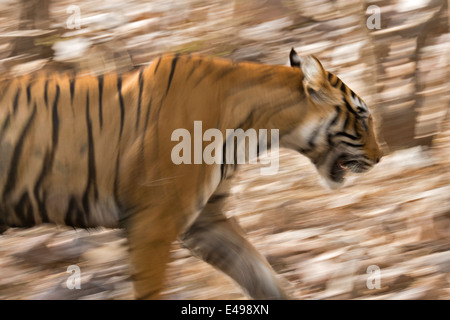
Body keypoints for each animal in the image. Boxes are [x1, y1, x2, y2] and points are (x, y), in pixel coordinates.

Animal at [0, 48, 384, 298]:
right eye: (362, 115)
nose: (381, 157)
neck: (257, 129)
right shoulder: (153, 223)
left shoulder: (207, 220)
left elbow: (261, 274)